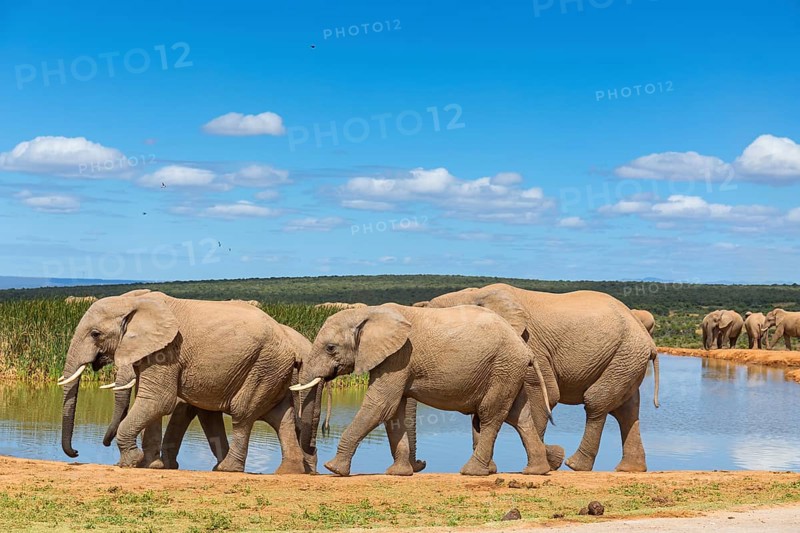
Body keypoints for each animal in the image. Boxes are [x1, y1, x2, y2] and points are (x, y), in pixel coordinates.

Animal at [58, 290, 322, 474]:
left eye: (95, 334)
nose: (76, 452)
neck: (134, 301)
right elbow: (152, 403)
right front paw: (150, 465)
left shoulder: (168, 350)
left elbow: (158, 401)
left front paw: (131, 463)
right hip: (273, 370)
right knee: (281, 417)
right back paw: (288, 472)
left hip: (264, 365)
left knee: (243, 414)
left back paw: (227, 469)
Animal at [291, 303, 559, 477]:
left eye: (330, 348)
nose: (314, 465)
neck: (367, 312)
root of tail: (525, 348)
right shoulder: (396, 361)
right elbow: (394, 411)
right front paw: (398, 474)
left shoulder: (398, 357)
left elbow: (381, 405)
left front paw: (334, 469)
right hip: (510, 370)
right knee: (519, 416)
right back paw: (535, 471)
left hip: (503, 366)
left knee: (490, 414)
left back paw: (471, 472)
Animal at [422, 283, 659, 473]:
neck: (477, 293)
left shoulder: (528, 344)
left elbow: (543, 393)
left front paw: (549, 462)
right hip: (627, 358)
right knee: (626, 410)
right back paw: (629, 469)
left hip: (626, 352)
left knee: (596, 401)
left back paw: (574, 465)